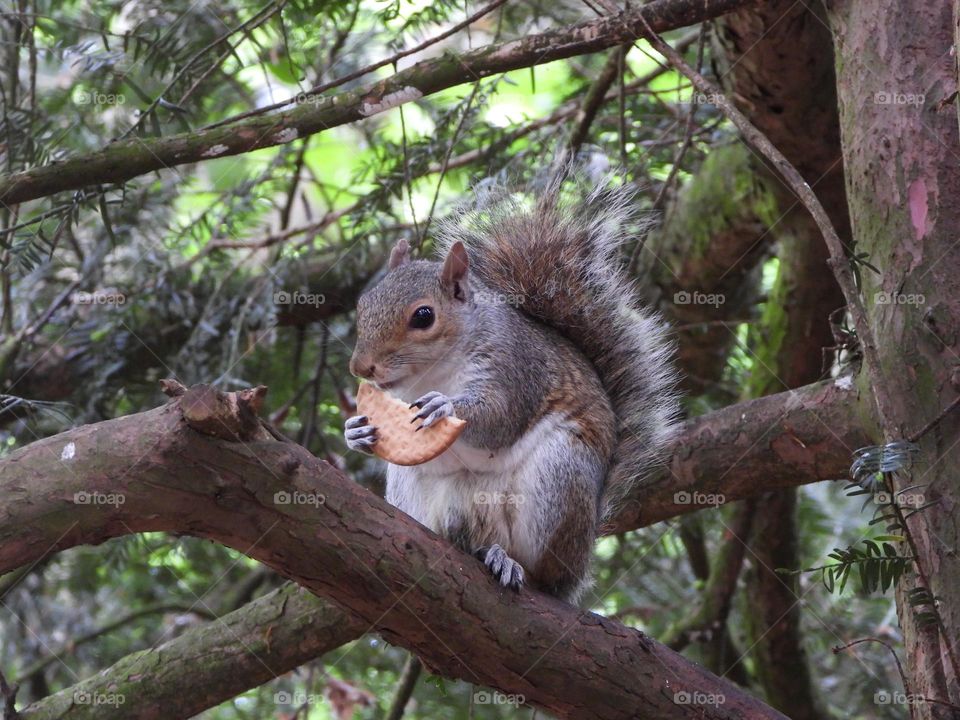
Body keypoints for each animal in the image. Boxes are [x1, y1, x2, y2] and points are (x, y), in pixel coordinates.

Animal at [344, 171, 680, 603]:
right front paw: (355, 431)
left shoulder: (516, 368)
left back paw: (512, 564)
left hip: (560, 475)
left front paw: (445, 407)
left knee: (542, 573)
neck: (433, 372)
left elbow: (500, 418)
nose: (360, 367)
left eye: (423, 316)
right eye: (363, 304)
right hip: (414, 489)